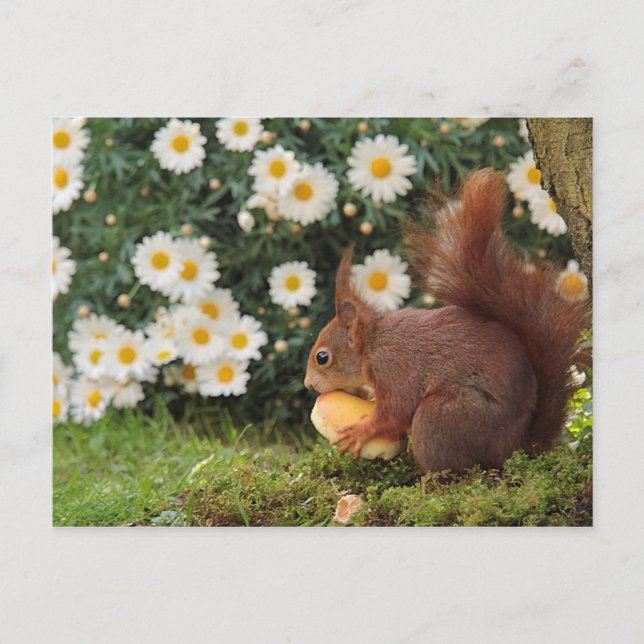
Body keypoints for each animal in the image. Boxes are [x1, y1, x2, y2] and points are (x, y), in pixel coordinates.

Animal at [304, 169, 588, 473]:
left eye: (322, 357)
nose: (308, 385)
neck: (371, 345)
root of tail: (516, 446)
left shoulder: (394, 370)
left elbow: (396, 410)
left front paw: (362, 431)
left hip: (440, 419)